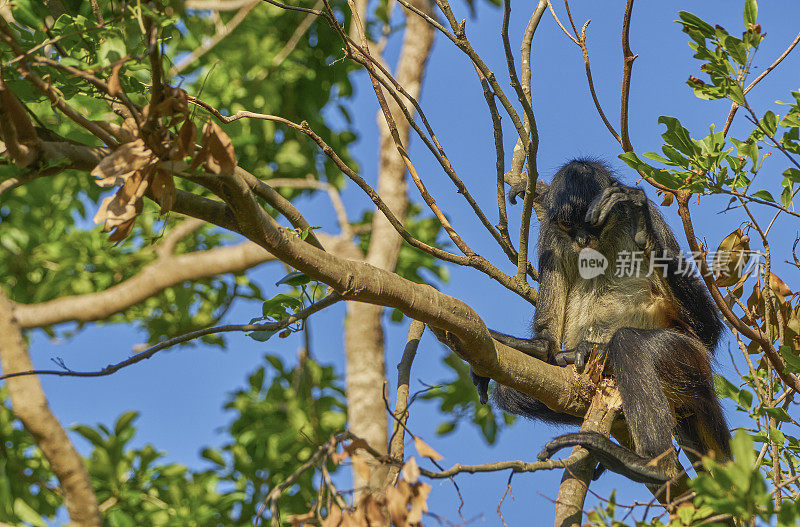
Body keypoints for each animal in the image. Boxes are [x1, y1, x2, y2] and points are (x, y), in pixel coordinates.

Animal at [476, 159, 732, 484]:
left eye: (591, 224)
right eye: (569, 226)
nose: (582, 240)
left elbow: (709, 330)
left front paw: (639, 218)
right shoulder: (552, 237)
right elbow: (545, 345)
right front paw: (534, 346)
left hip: (689, 357)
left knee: (630, 342)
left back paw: (650, 465)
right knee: (509, 392)